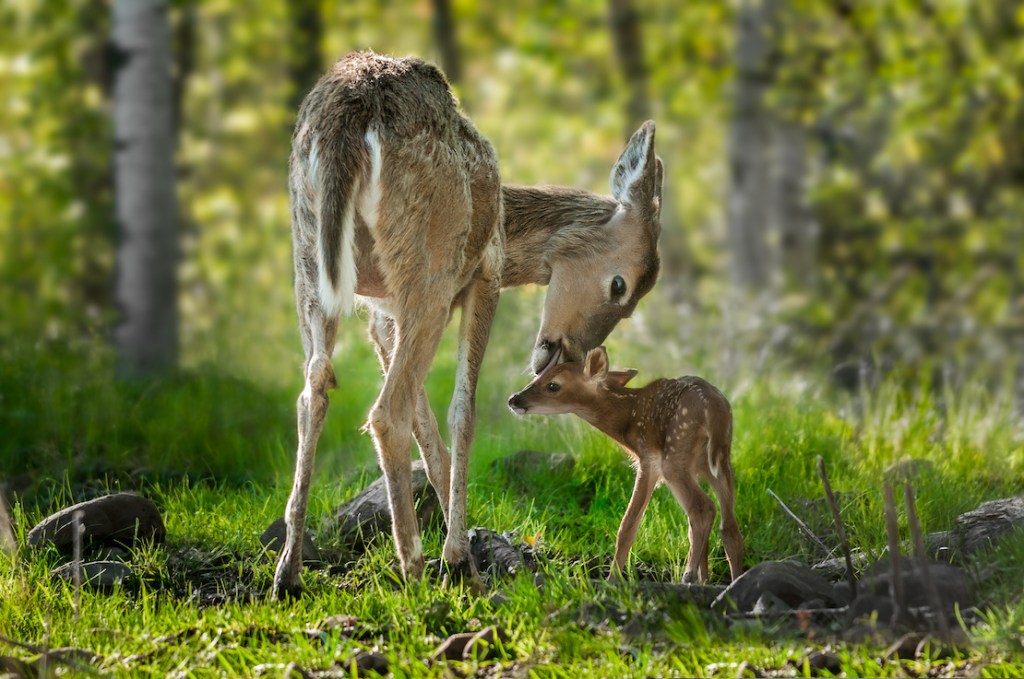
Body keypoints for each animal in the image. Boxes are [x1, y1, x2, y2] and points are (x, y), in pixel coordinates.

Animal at [272, 52, 663, 598]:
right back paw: (413, 570)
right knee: (385, 412)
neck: (506, 224)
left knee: (314, 392)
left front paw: (466, 560)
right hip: (428, 265)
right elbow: (462, 411)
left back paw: (288, 571)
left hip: (309, 259)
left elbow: (429, 427)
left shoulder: (381, 314)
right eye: (621, 287)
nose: (563, 354)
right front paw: (460, 561)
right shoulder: (486, 275)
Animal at [507, 346, 743, 584]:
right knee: (729, 525)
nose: (513, 399)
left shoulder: (648, 460)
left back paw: (688, 574)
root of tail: (714, 408)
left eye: (553, 385)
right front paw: (705, 579)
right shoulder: (694, 469)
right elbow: (690, 530)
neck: (628, 420)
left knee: (703, 509)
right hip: (720, 459)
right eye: (537, 377)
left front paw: (613, 579)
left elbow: (628, 525)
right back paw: (733, 579)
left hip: (676, 453)